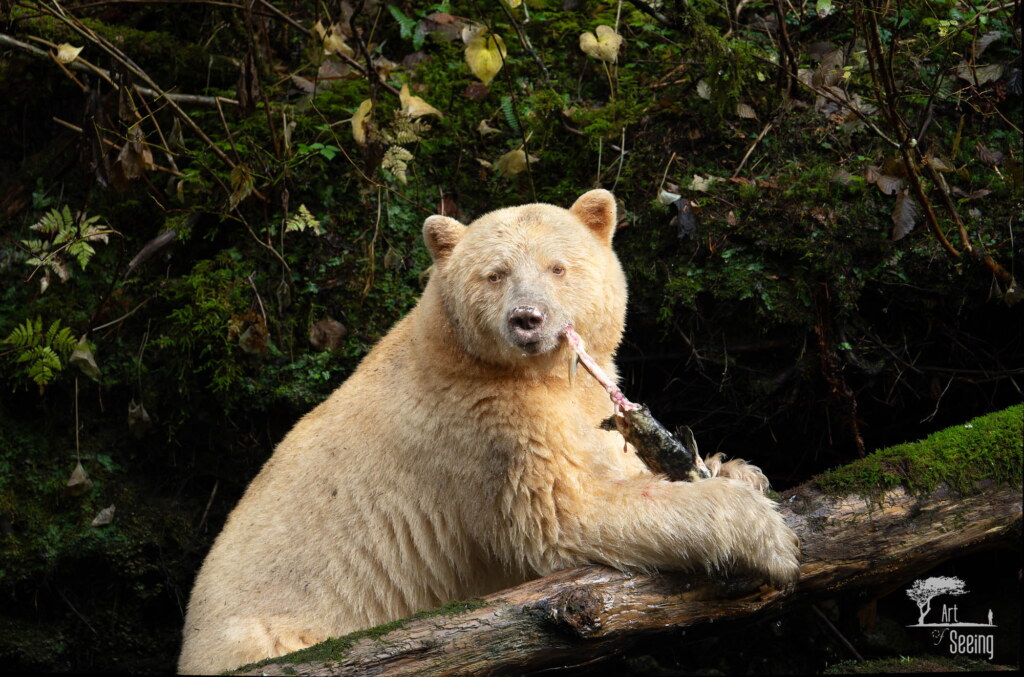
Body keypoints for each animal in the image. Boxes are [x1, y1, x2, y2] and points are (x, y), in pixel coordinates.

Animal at [177, 189, 800, 674]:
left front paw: (736, 468)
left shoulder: (578, 402)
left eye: (557, 267)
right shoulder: (481, 430)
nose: (528, 319)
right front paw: (768, 538)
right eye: (495, 273)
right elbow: (560, 517)